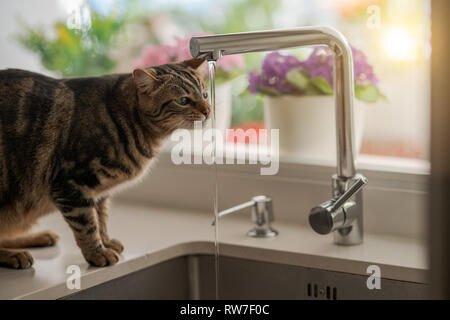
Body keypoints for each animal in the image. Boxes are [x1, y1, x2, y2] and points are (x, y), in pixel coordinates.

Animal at [0, 57, 210, 268]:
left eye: (205, 95)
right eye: (183, 100)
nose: (208, 111)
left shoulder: (99, 192)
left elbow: (100, 218)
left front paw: (106, 242)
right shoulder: (71, 184)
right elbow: (87, 224)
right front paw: (97, 252)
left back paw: (40, 237)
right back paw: (14, 255)